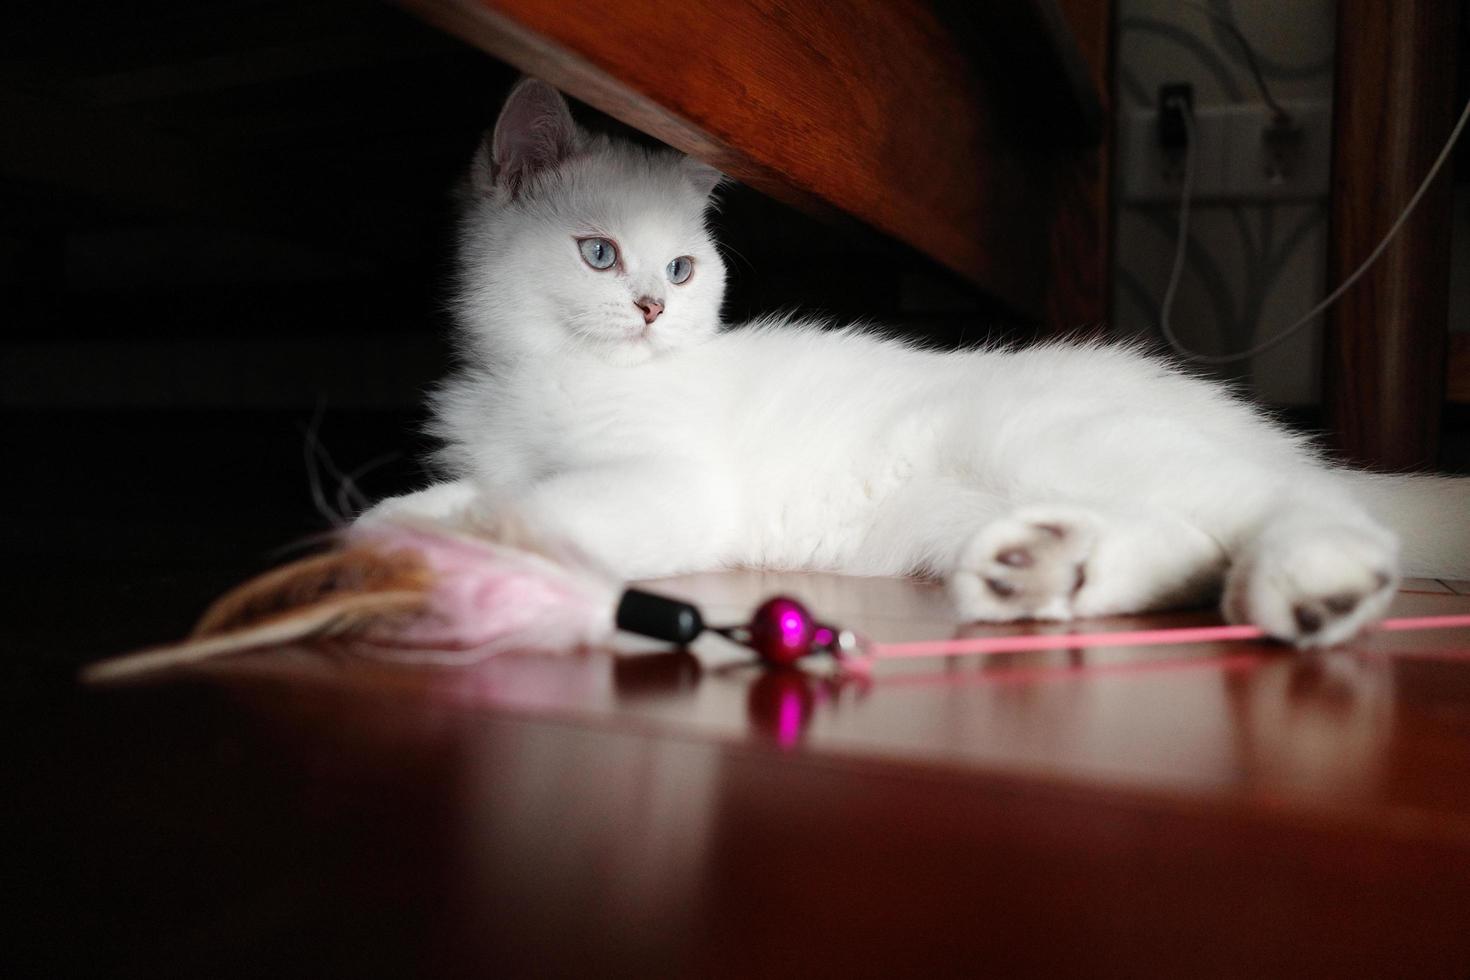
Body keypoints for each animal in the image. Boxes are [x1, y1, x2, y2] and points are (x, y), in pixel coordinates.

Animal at [361, 80, 1464, 646]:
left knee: (1295, 508)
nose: (651, 307)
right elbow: (473, 488)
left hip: (1070, 437)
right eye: (598, 252)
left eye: (679, 267)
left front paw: (454, 544)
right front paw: (390, 526)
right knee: (1186, 542)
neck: (542, 375)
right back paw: (1040, 570)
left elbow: (546, 505)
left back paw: (1316, 579)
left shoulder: (668, 479)